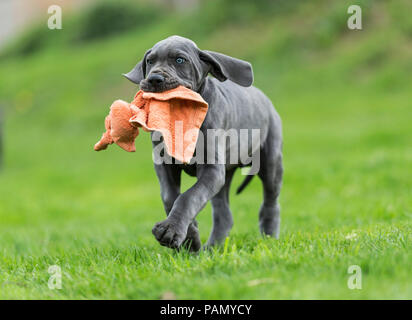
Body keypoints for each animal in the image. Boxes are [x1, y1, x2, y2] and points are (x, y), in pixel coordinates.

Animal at [123, 36, 284, 251]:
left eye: (180, 60)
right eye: (150, 61)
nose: (154, 79)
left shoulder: (211, 169)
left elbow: (188, 197)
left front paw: (171, 230)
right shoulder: (165, 165)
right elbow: (171, 197)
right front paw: (190, 238)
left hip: (270, 161)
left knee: (270, 203)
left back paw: (269, 238)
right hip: (226, 174)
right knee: (224, 214)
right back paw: (213, 247)